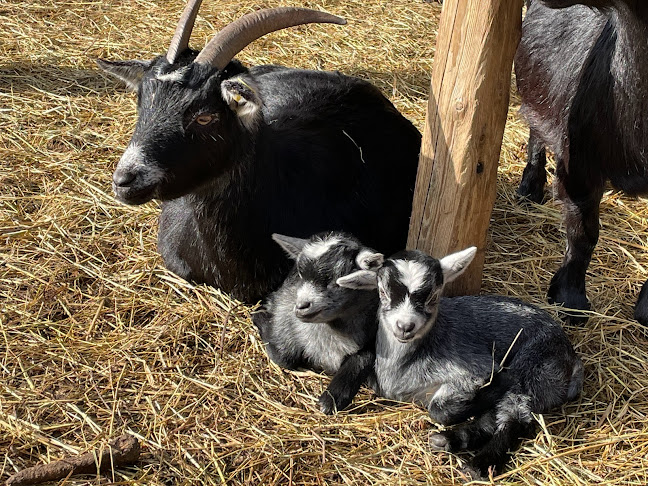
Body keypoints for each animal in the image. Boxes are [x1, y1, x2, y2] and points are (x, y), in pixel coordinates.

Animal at [252, 232, 382, 414]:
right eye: (300, 275)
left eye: (336, 281)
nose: (301, 306)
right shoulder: (283, 313)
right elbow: (284, 357)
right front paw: (260, 316)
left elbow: (363, 358)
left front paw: (332, 399)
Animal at [340, 247, 584, 478]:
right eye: (382, 292)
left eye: (433, 296)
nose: (405, 326)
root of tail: (570, 353)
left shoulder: (474, 368)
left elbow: (439, 411)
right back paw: (450, 440)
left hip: (534, 365)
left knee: (514, 416)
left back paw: (478, 464)